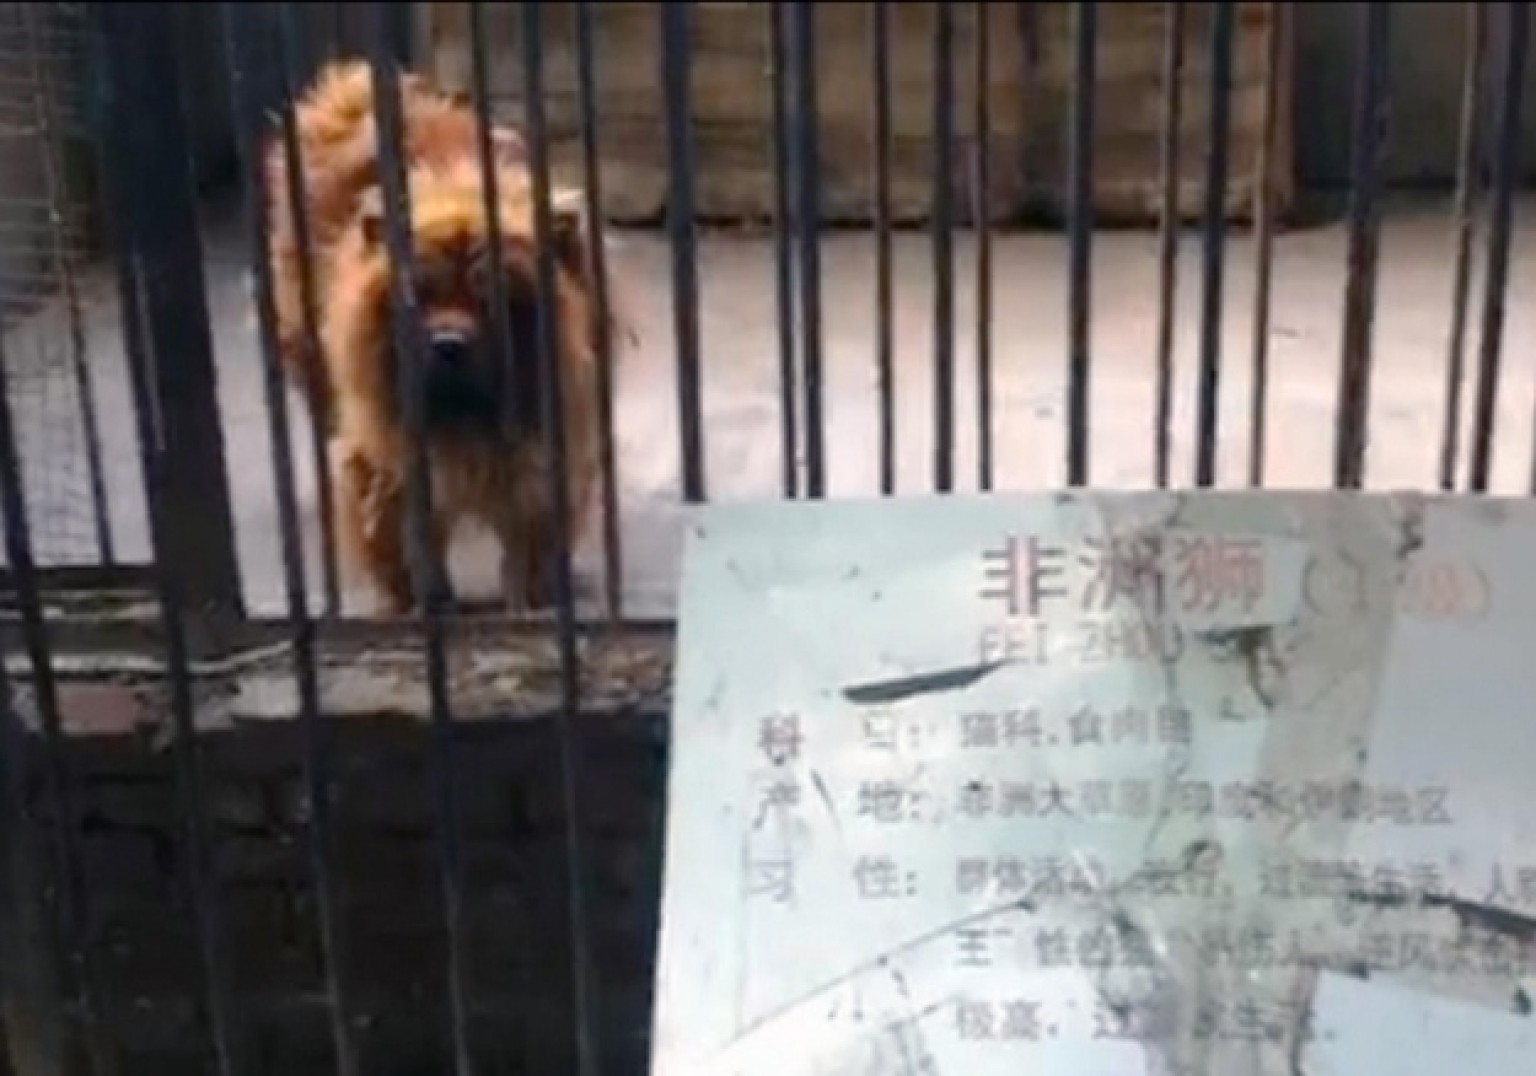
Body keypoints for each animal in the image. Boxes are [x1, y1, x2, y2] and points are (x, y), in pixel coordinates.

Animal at [264, 61, 605, 613]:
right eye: (418, 297)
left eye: (494, 302)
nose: (447, 343)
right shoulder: (389, 459)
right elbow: (402, 538)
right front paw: (421, 601)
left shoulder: (549, 451)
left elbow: (533, 537)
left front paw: (531, 598)